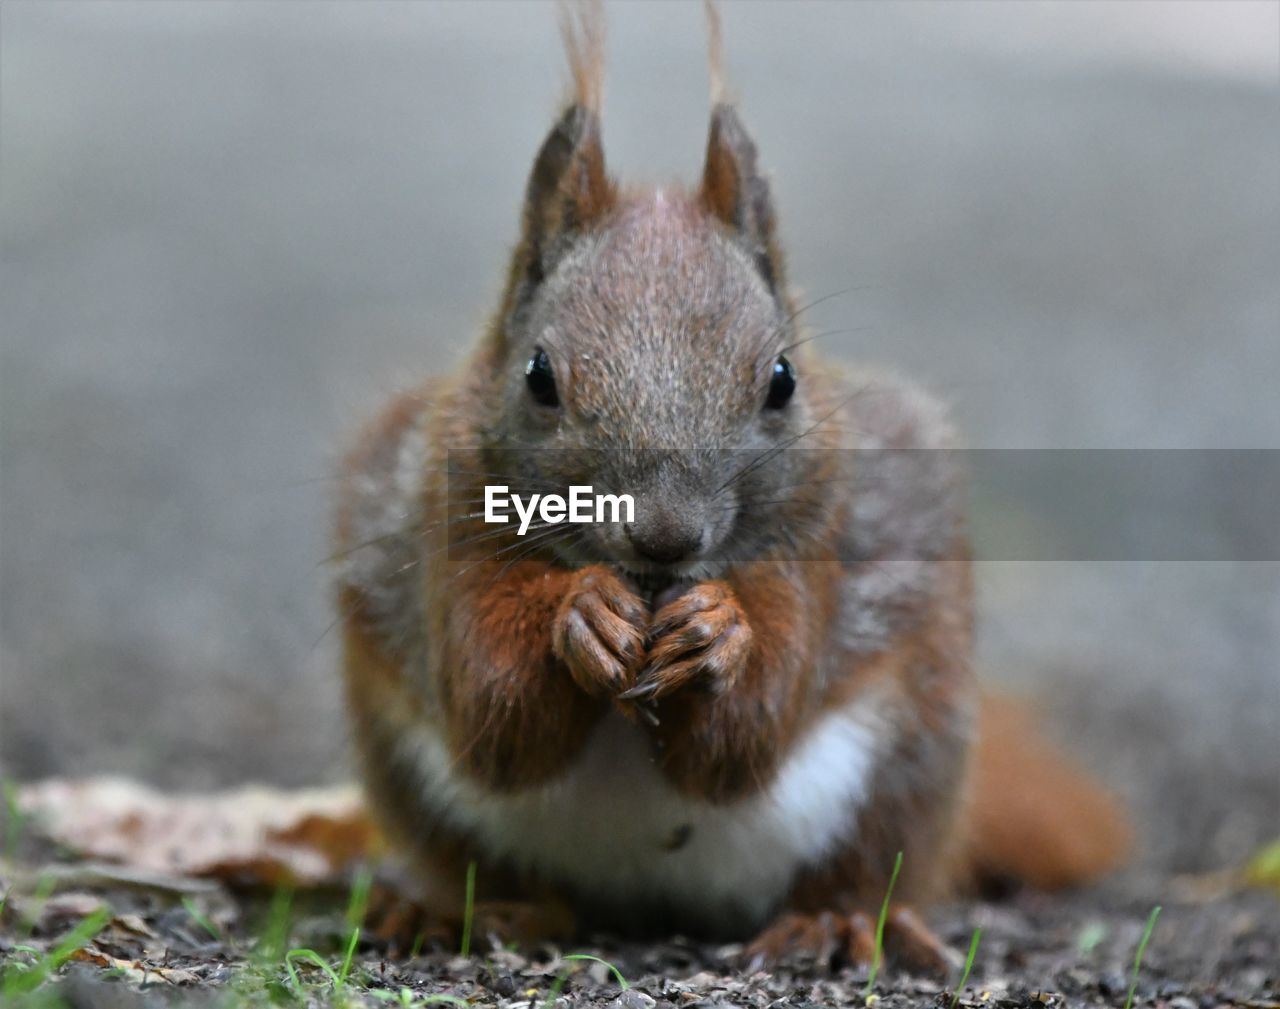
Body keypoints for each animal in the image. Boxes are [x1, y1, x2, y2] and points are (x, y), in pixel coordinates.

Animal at [332, 3, 1131, 973]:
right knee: (509, 875)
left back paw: (837, 921)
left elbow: (747, 733)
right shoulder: (443, 516)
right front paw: (581, 610)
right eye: (539, 377)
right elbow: (493, 710)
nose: (666, 537)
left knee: (863, 861)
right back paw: (471, 909)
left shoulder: (814, 537)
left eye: (781, 380)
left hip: (914, 744)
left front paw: (721, 632)